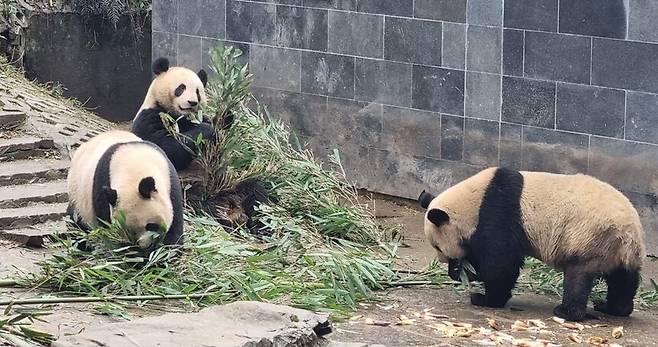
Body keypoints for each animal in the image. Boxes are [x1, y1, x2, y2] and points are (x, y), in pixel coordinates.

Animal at [418, 167, 644, 322]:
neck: (474, 200)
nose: (448, 267)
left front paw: (483, 297)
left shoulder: (497, 213)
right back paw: (612, 307)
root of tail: (628, 232)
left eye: (438, 247)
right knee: (624, 279)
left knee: (578, 276)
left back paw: (567, 312)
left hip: (589, 238)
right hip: (619, 252)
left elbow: (501, 264)